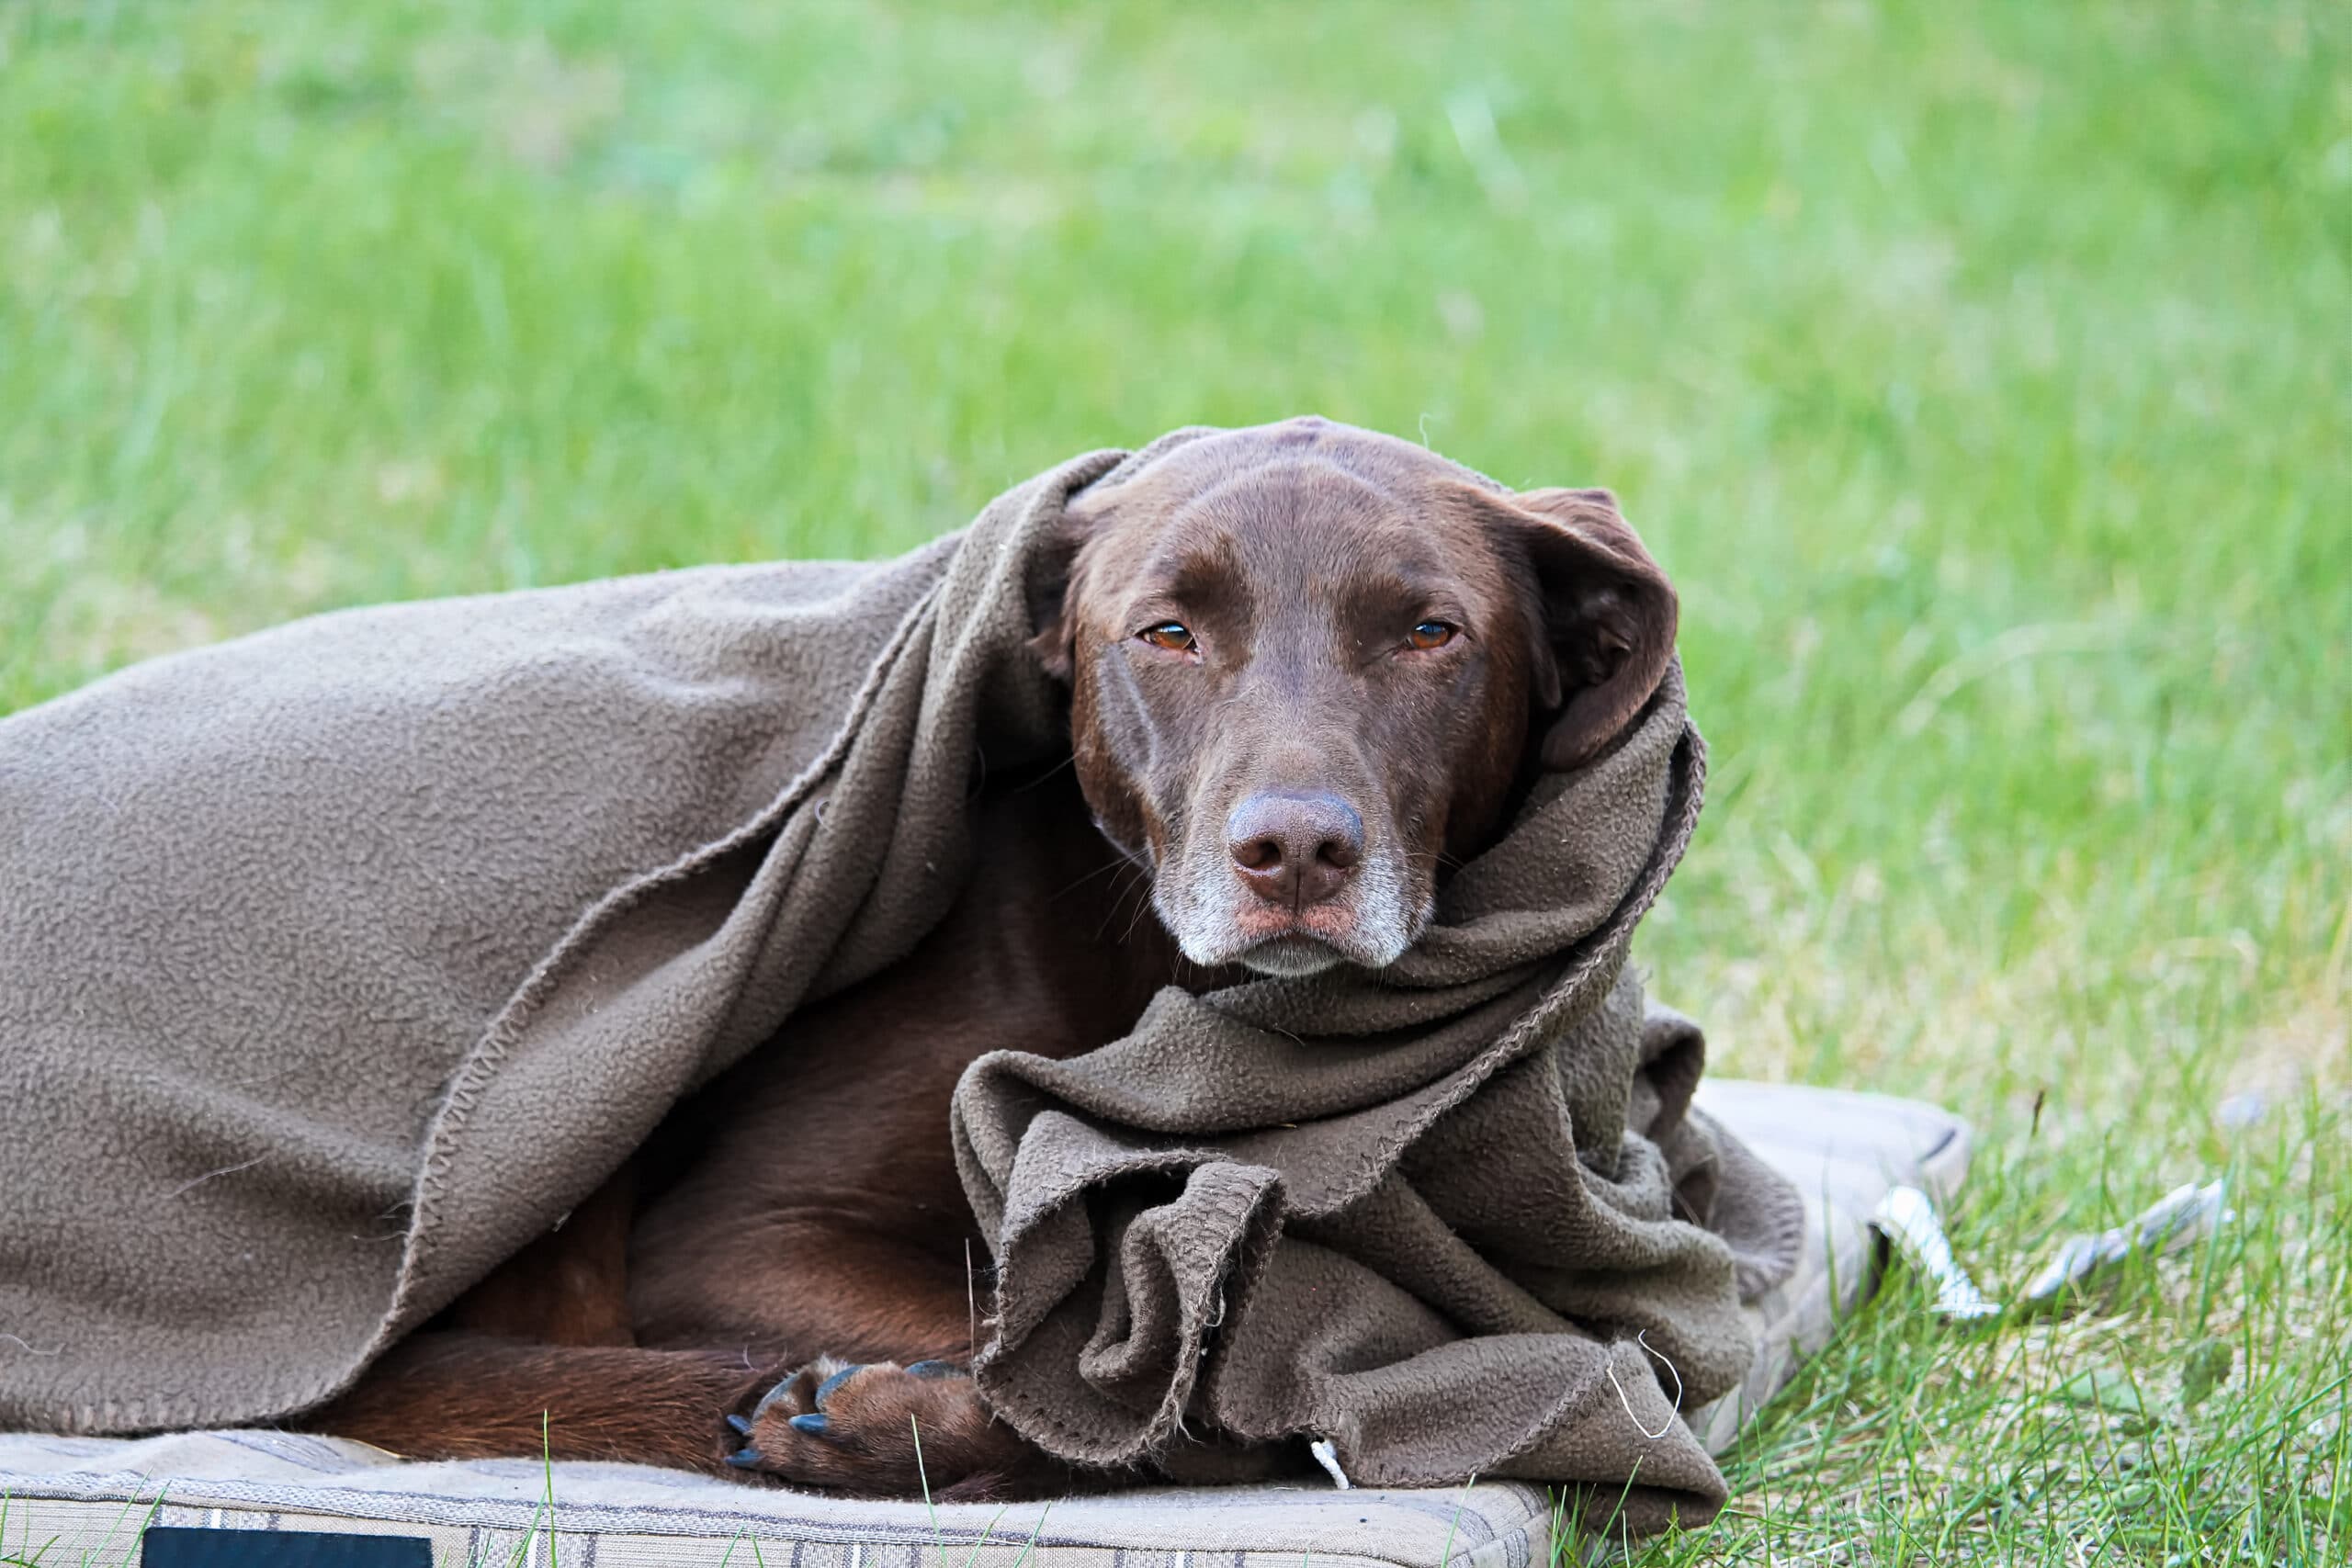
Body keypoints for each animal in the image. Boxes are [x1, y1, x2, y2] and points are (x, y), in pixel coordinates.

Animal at [303, 423, 1683, 1504]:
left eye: (1430, 632)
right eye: (1166, 632)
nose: (1294, 851)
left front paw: (881, 1421)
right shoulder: (739, 1235)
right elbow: (1100, 1362)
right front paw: (883, 1417)